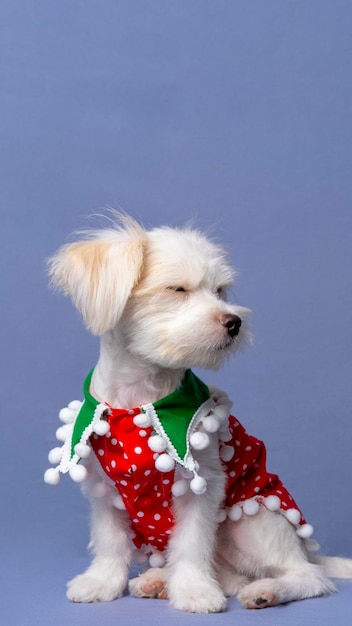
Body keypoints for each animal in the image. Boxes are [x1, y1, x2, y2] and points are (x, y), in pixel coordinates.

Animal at [44, 213, 352, 608]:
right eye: (177, 289)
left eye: (220, 291)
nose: (234, 322)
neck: (137, 402)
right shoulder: (103, 488)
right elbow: (110, 542)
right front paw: (101, 582)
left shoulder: (202, 485)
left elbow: (192, 543)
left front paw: (193, 591)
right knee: (230, 576)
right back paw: (159, 580)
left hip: (252, 519)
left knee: (306, 576)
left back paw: (265, 591)